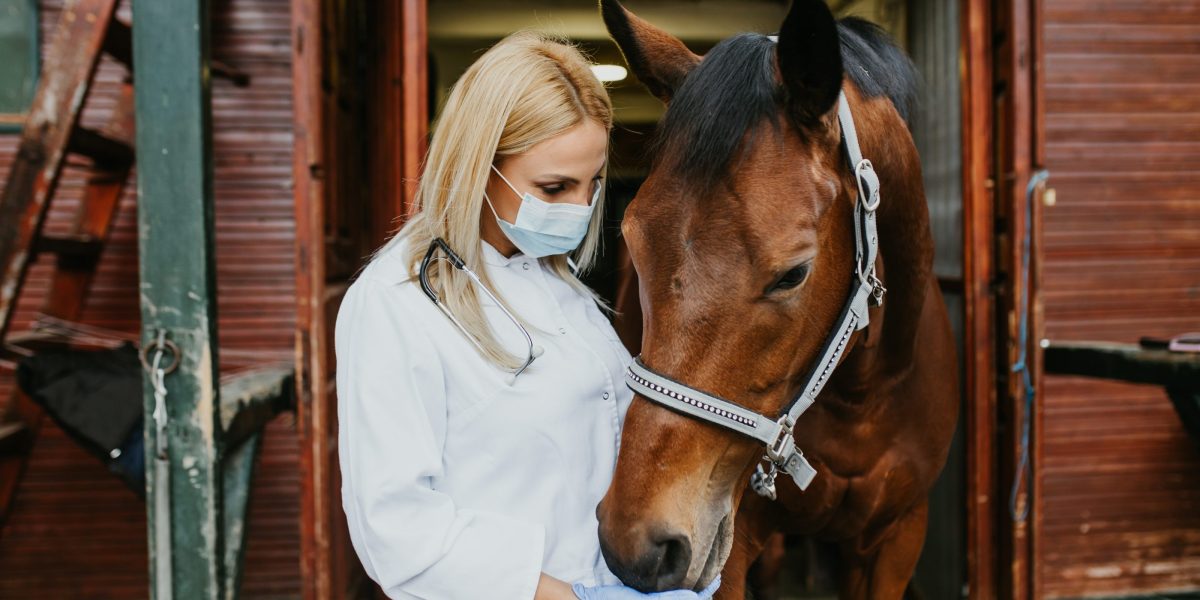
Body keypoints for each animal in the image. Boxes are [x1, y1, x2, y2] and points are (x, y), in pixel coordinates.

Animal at [594, 1, 959, 598]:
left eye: (793, 274)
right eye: (633, 240)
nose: (635, 542)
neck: (862, 398)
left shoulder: (898, 536)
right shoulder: (738, 547)